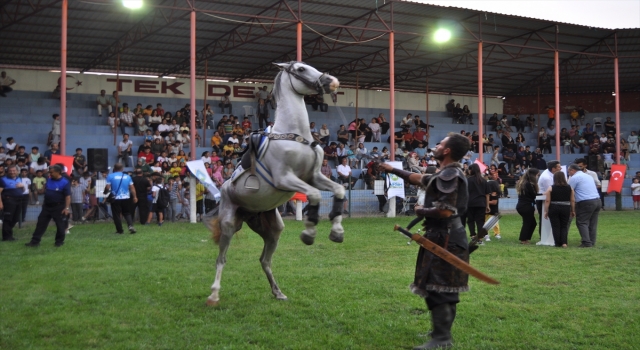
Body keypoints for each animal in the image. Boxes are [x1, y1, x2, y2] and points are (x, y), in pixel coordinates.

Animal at [205, 61, 344, 304]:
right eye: (300, 69)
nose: (332, 82)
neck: (295, 135)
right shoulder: (285, 178)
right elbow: (314, 195)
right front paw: (309, 233)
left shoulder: (314, 177)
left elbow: (339, 190)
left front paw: (336, 231)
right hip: (228, 224)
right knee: (221, 259)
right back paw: (214, 294)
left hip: (273, 230)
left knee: (264, 260)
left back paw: (278, 292)